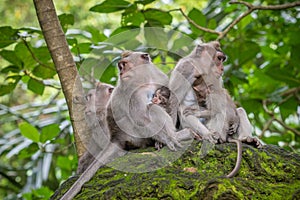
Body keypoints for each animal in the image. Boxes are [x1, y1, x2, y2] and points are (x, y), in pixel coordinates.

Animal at [60, 50, 192, 199]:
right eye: (120, 66)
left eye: (124, 64)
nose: (121, 73)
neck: (145, 79)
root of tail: (116, 137)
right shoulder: (133, 91)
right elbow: (140, 116)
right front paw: (168, 139)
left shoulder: (159, 77)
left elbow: (170, 100)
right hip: (134, 135)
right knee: (150, 110)